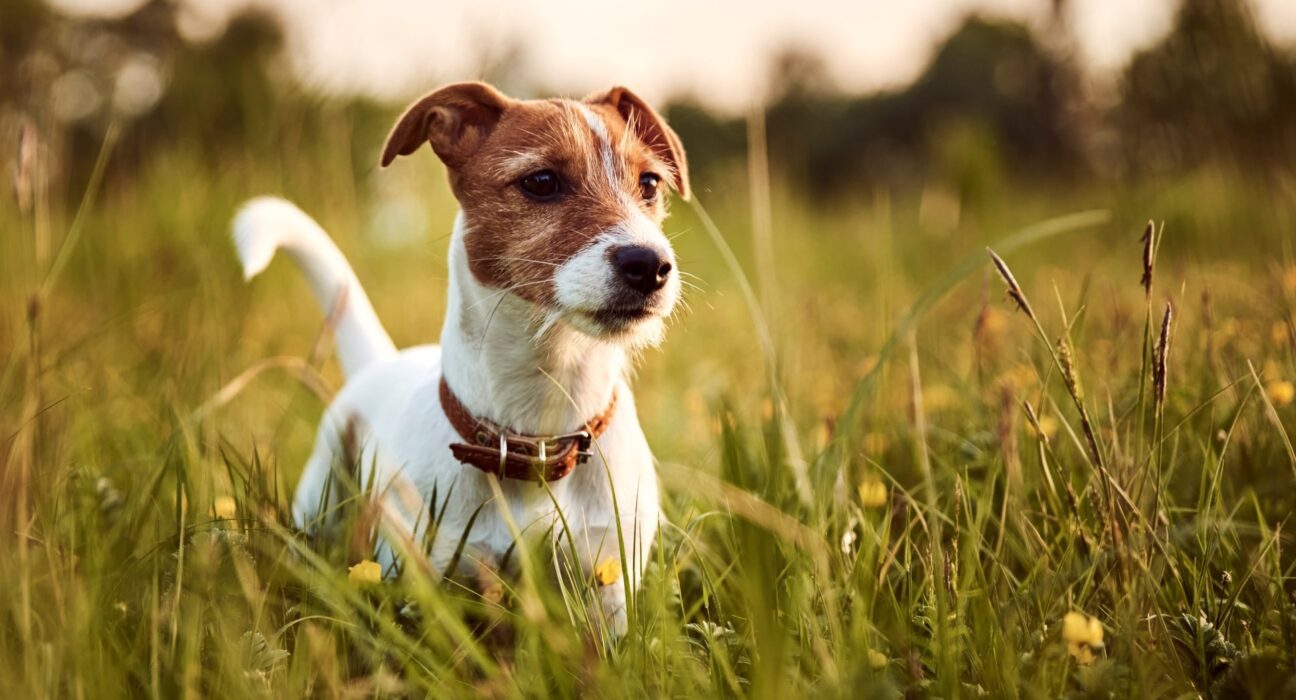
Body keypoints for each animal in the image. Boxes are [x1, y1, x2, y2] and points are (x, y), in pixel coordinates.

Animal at [238, 81, 694, 635]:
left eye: (650, 183)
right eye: (542, 181)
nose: (650, 265)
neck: (538, 435)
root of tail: (380, 361)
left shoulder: (608, 581)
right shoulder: (433, 580)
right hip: (320, 501)